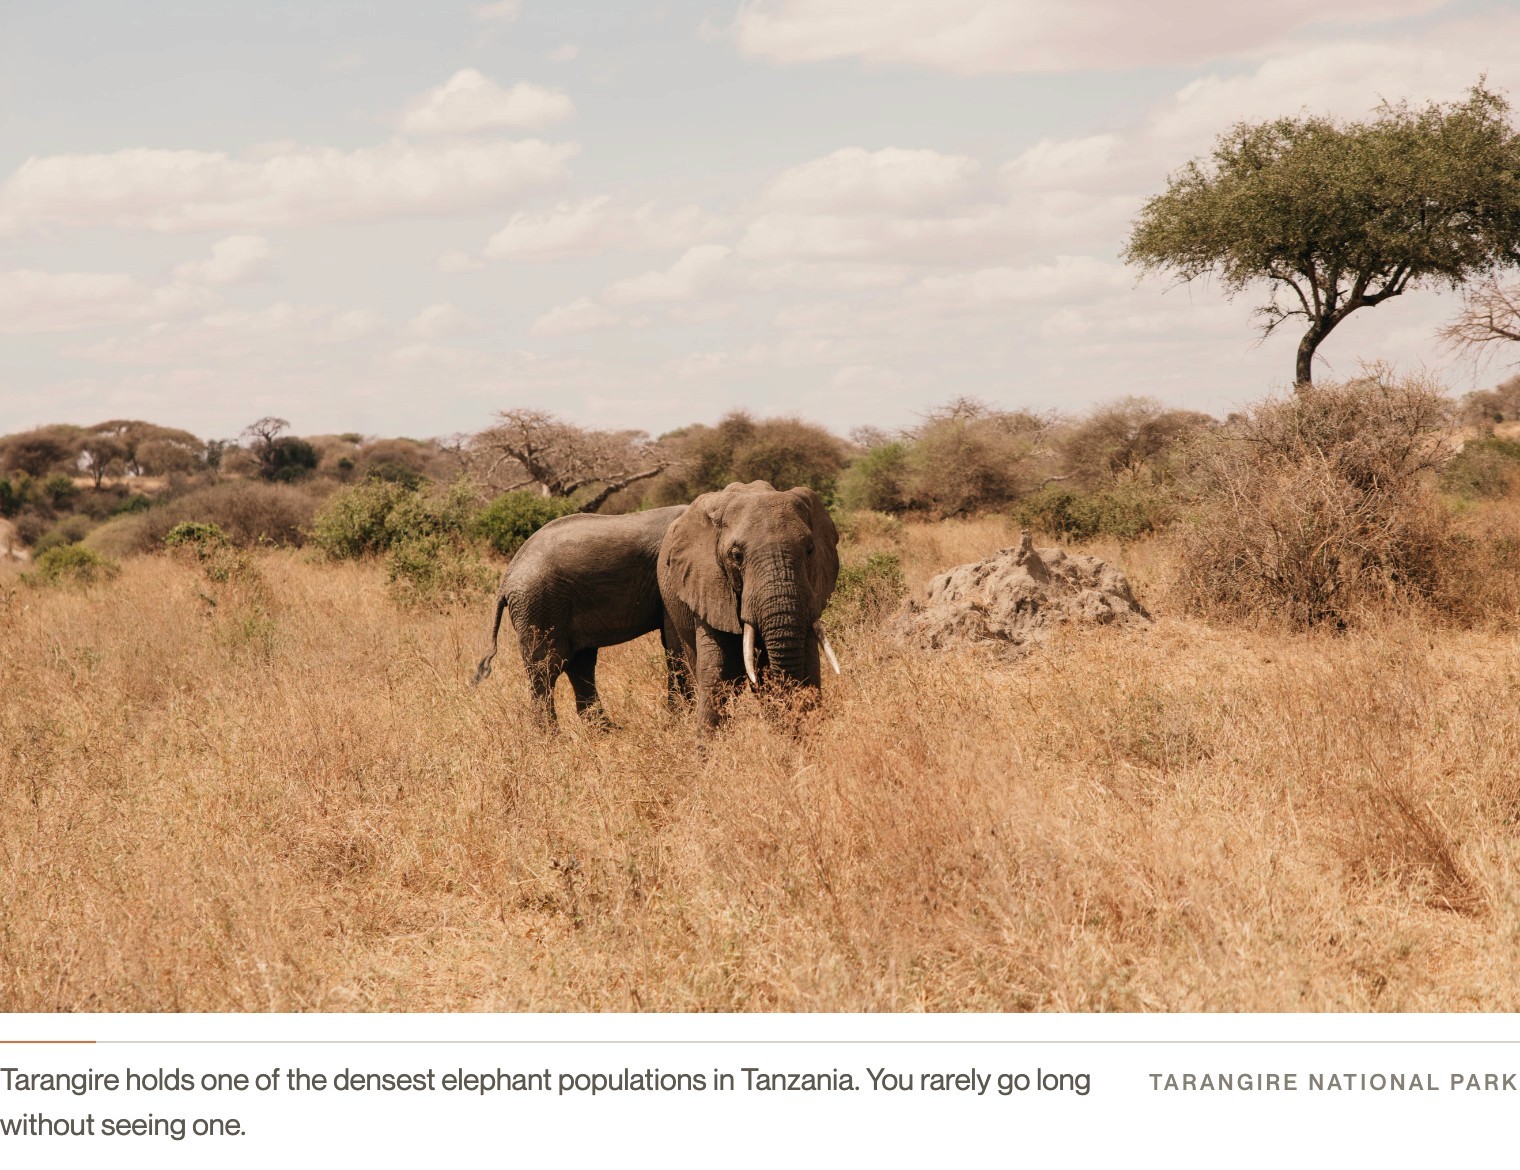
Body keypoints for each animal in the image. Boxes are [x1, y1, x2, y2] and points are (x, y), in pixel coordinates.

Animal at [472, 505, 689, 726]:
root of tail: (506, 579)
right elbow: (678, 644)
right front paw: (678, 723)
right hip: (540, 604)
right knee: (548, 668)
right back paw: (552, 733)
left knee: (580, 664)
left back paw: (608, 729)